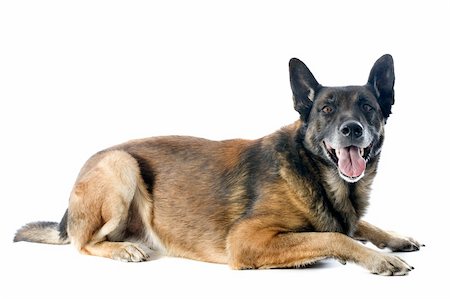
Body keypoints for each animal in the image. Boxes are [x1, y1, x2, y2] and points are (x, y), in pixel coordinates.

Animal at [14, 54, 422, 276]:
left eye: (367, 107)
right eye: (326, 110)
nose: (352, 129)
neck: (314, 172)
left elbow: (357, 225)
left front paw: (395, 238)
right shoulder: (247, 241)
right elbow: (334, 236)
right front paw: (376, 259)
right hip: (121, 164)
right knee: (83, 243)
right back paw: (123, 249)